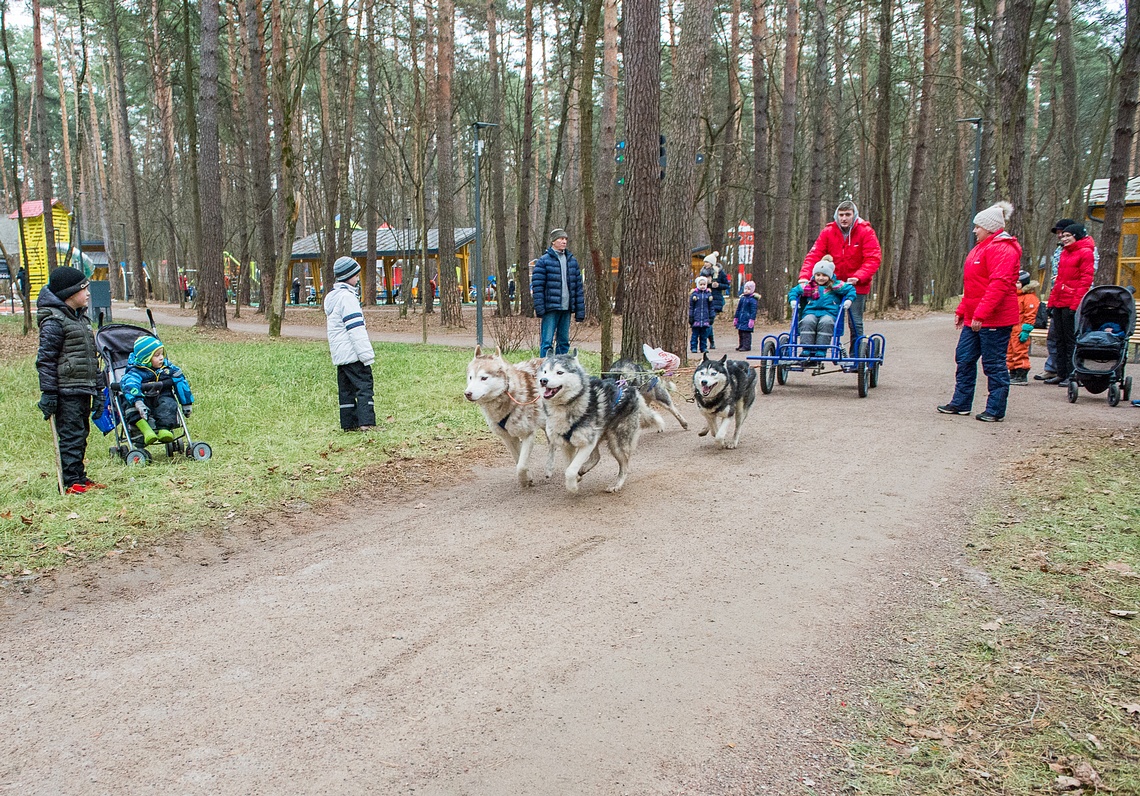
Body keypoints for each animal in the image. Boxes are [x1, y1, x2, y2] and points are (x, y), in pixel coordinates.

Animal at [465, 346, 549, 483]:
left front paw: (524, 480)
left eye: (484, 378)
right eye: (471, 377)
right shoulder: (507, 437)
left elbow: (521, 465)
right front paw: (528, 477)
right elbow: (518, 460)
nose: (467, 393)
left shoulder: (528, 434)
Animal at [538, 348, 665, 490]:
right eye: (545, 371)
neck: (566, 406)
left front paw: (573, 486)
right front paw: (576, 477)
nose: (543, 380)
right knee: (596, 457)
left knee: (625, 465)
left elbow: (570, 471)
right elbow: (569, 466)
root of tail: (628, 387)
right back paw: (583, 470)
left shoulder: (588, 443)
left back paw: (617, 484)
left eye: (559, 372)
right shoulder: (566, 445)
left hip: (616, 442)